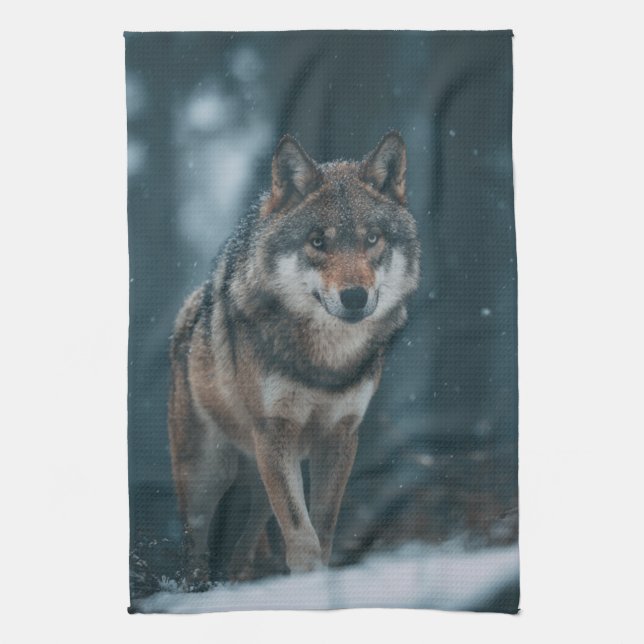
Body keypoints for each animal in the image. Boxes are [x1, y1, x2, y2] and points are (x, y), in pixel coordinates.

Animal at [168, 132, 420, 585]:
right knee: (195, 545)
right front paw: (308, 580)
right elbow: (300, 530)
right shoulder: (275, 431)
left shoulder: (341, 435)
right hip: (207, 475)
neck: (327, 363)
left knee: (245, 541)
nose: (354, 297)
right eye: (318, 241)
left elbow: (322, 525)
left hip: (256, 475)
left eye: (372, 238)